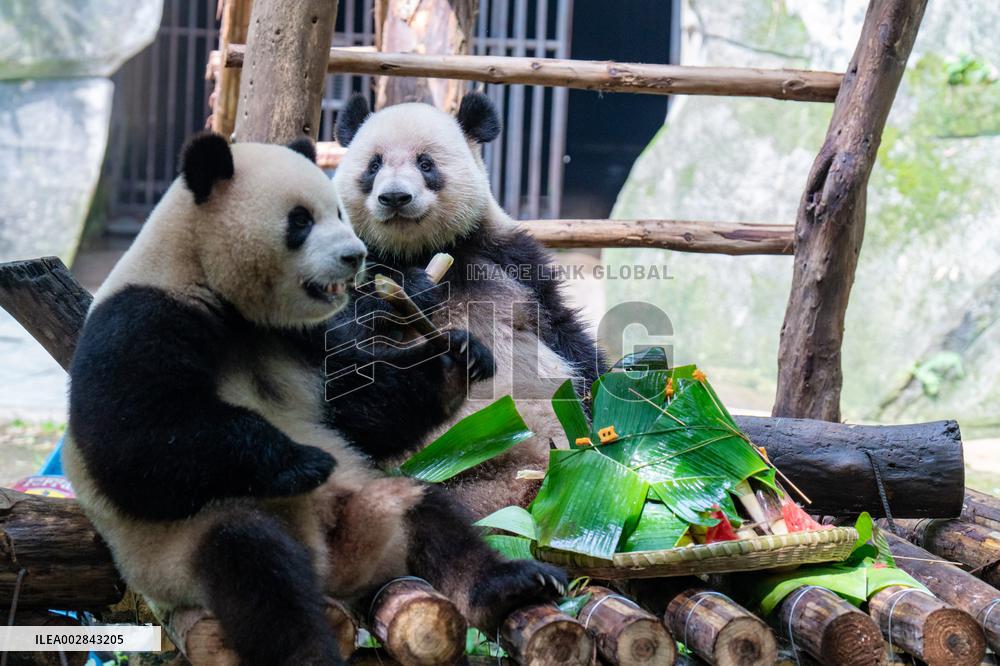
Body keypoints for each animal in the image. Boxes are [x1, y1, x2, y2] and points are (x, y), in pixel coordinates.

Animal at [63, 133, 566, 666]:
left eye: (339, 213)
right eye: (301, 220)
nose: (356, 256)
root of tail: (333, 573)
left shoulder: (305, 338)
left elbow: (357, 407)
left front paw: (457, 356)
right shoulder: (142, 319)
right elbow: (133, 446)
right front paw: (299, 460)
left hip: (374, 504)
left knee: (433, 515)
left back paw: (513, 583)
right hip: (181, 554)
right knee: (257, 573)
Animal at [333, 92, 607, 518]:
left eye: (425, 163)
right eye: (374, 164)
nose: (394, 197)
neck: (416, 250)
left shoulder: (508, 258)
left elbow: (564, 333)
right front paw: (411, 293)